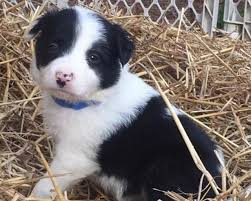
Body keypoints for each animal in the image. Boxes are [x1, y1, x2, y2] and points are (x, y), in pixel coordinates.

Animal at [26, 6, 224, 201]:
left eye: (94, 57)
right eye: (53, 46)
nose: (63, 76)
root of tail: (220, 183)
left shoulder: (73, 157)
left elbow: (47, 184)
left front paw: (32, 196)